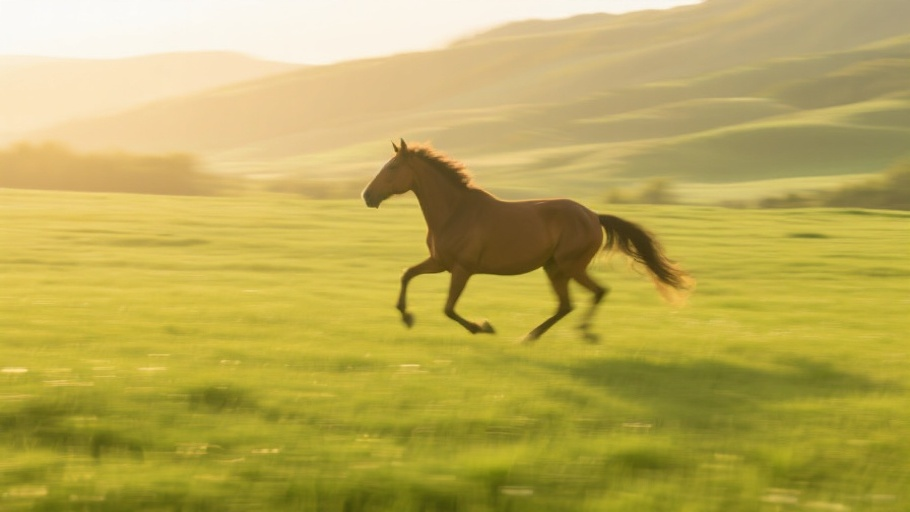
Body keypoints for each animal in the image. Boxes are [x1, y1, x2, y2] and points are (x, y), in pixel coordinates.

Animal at [362, 139, 693, 342]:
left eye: (392, 168)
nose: (367, 196)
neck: (455, 211)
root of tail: (593, 215)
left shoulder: (462, 268)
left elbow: (449, 309)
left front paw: (483, 327)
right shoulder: (440, 262)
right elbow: (407, 274)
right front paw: (406, 316)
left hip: (570, 266)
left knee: (598, 292)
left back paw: (583, 333)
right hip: (554, 268)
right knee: (566, 305)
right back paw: (530, 337)